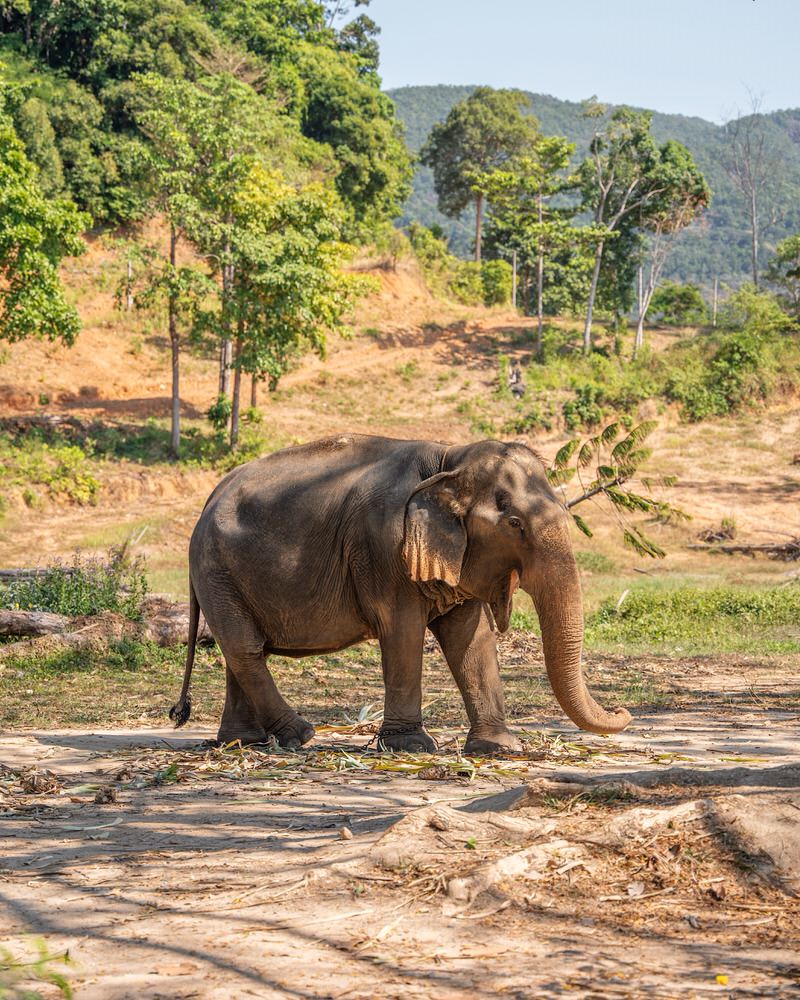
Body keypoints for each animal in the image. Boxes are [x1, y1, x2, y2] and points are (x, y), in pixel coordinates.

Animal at [170, 434, 632, 752]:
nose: (622, 711)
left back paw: (243, 742)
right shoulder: (382, 549)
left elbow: (471, 639)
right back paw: (299, 735)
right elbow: (403, 631)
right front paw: (411, 746)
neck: (449, 458)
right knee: (246, 649)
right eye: (515, 524)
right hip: (215, 569)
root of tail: (210, 497)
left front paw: (500, 748)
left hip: (227, 575)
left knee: (241, 652)